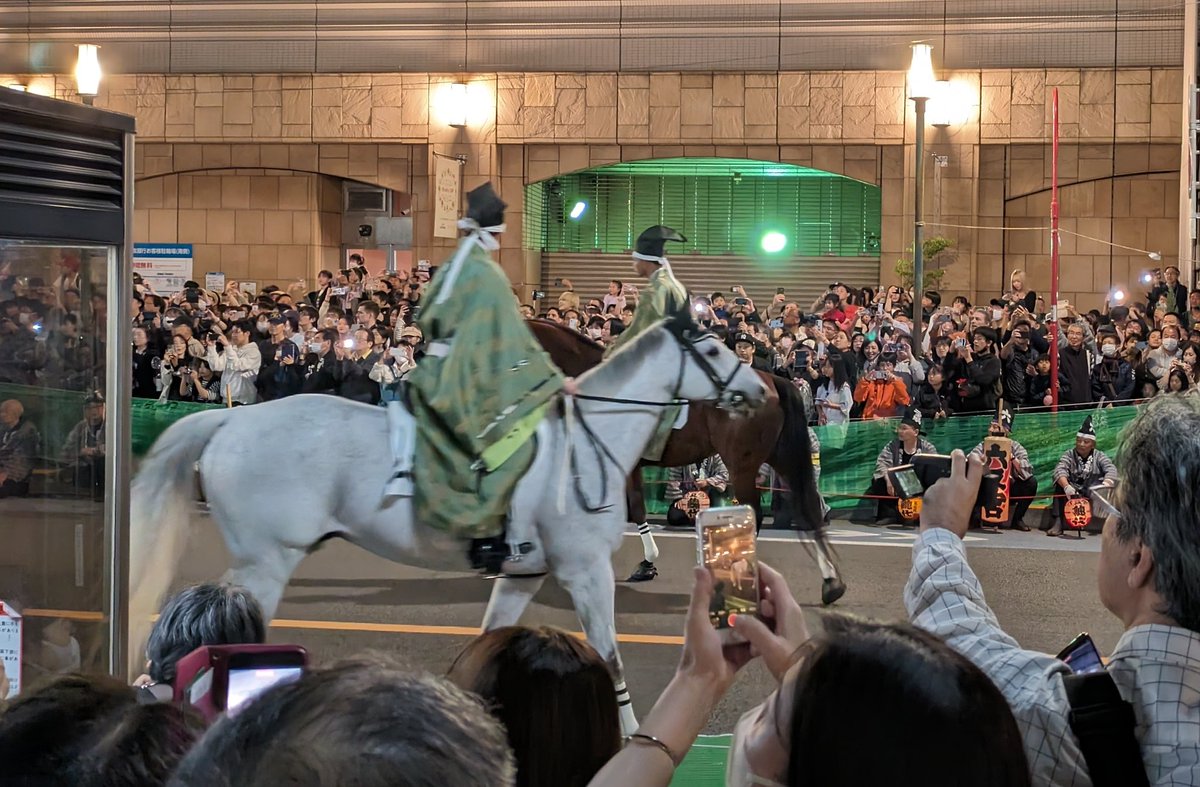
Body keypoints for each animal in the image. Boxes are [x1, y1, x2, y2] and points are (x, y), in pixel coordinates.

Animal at [129, 314, 768, 729]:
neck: (583, 444)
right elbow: (610, 656)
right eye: (713, 352)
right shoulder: (586, 572)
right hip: (268, 561)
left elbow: (488, 638)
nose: (760, 390)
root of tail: (230, 421)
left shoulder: (523, 575)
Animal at [525, 316, 844, 604]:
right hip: (782, 456)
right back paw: (831, 584)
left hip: (742, 465)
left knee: (755, 512)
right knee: (809, 508)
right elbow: (635, 507)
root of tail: (773, 381)